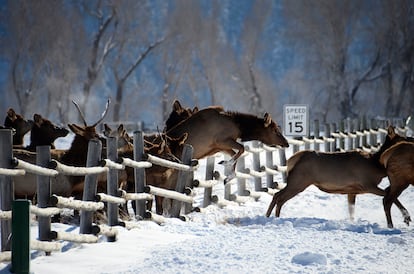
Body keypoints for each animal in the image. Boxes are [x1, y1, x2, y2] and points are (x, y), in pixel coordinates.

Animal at [266, 126, 410, 225]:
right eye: (403, 138)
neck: (377, 165)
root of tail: (291, 160)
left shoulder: (352, 191)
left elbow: (352, 211)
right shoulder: (367, 184)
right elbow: (389, 195)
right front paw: (407, 218)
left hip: (296, 181)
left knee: (277, 195)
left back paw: (268, 216)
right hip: (298, 181)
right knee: (279, 197)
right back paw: (274, 217)